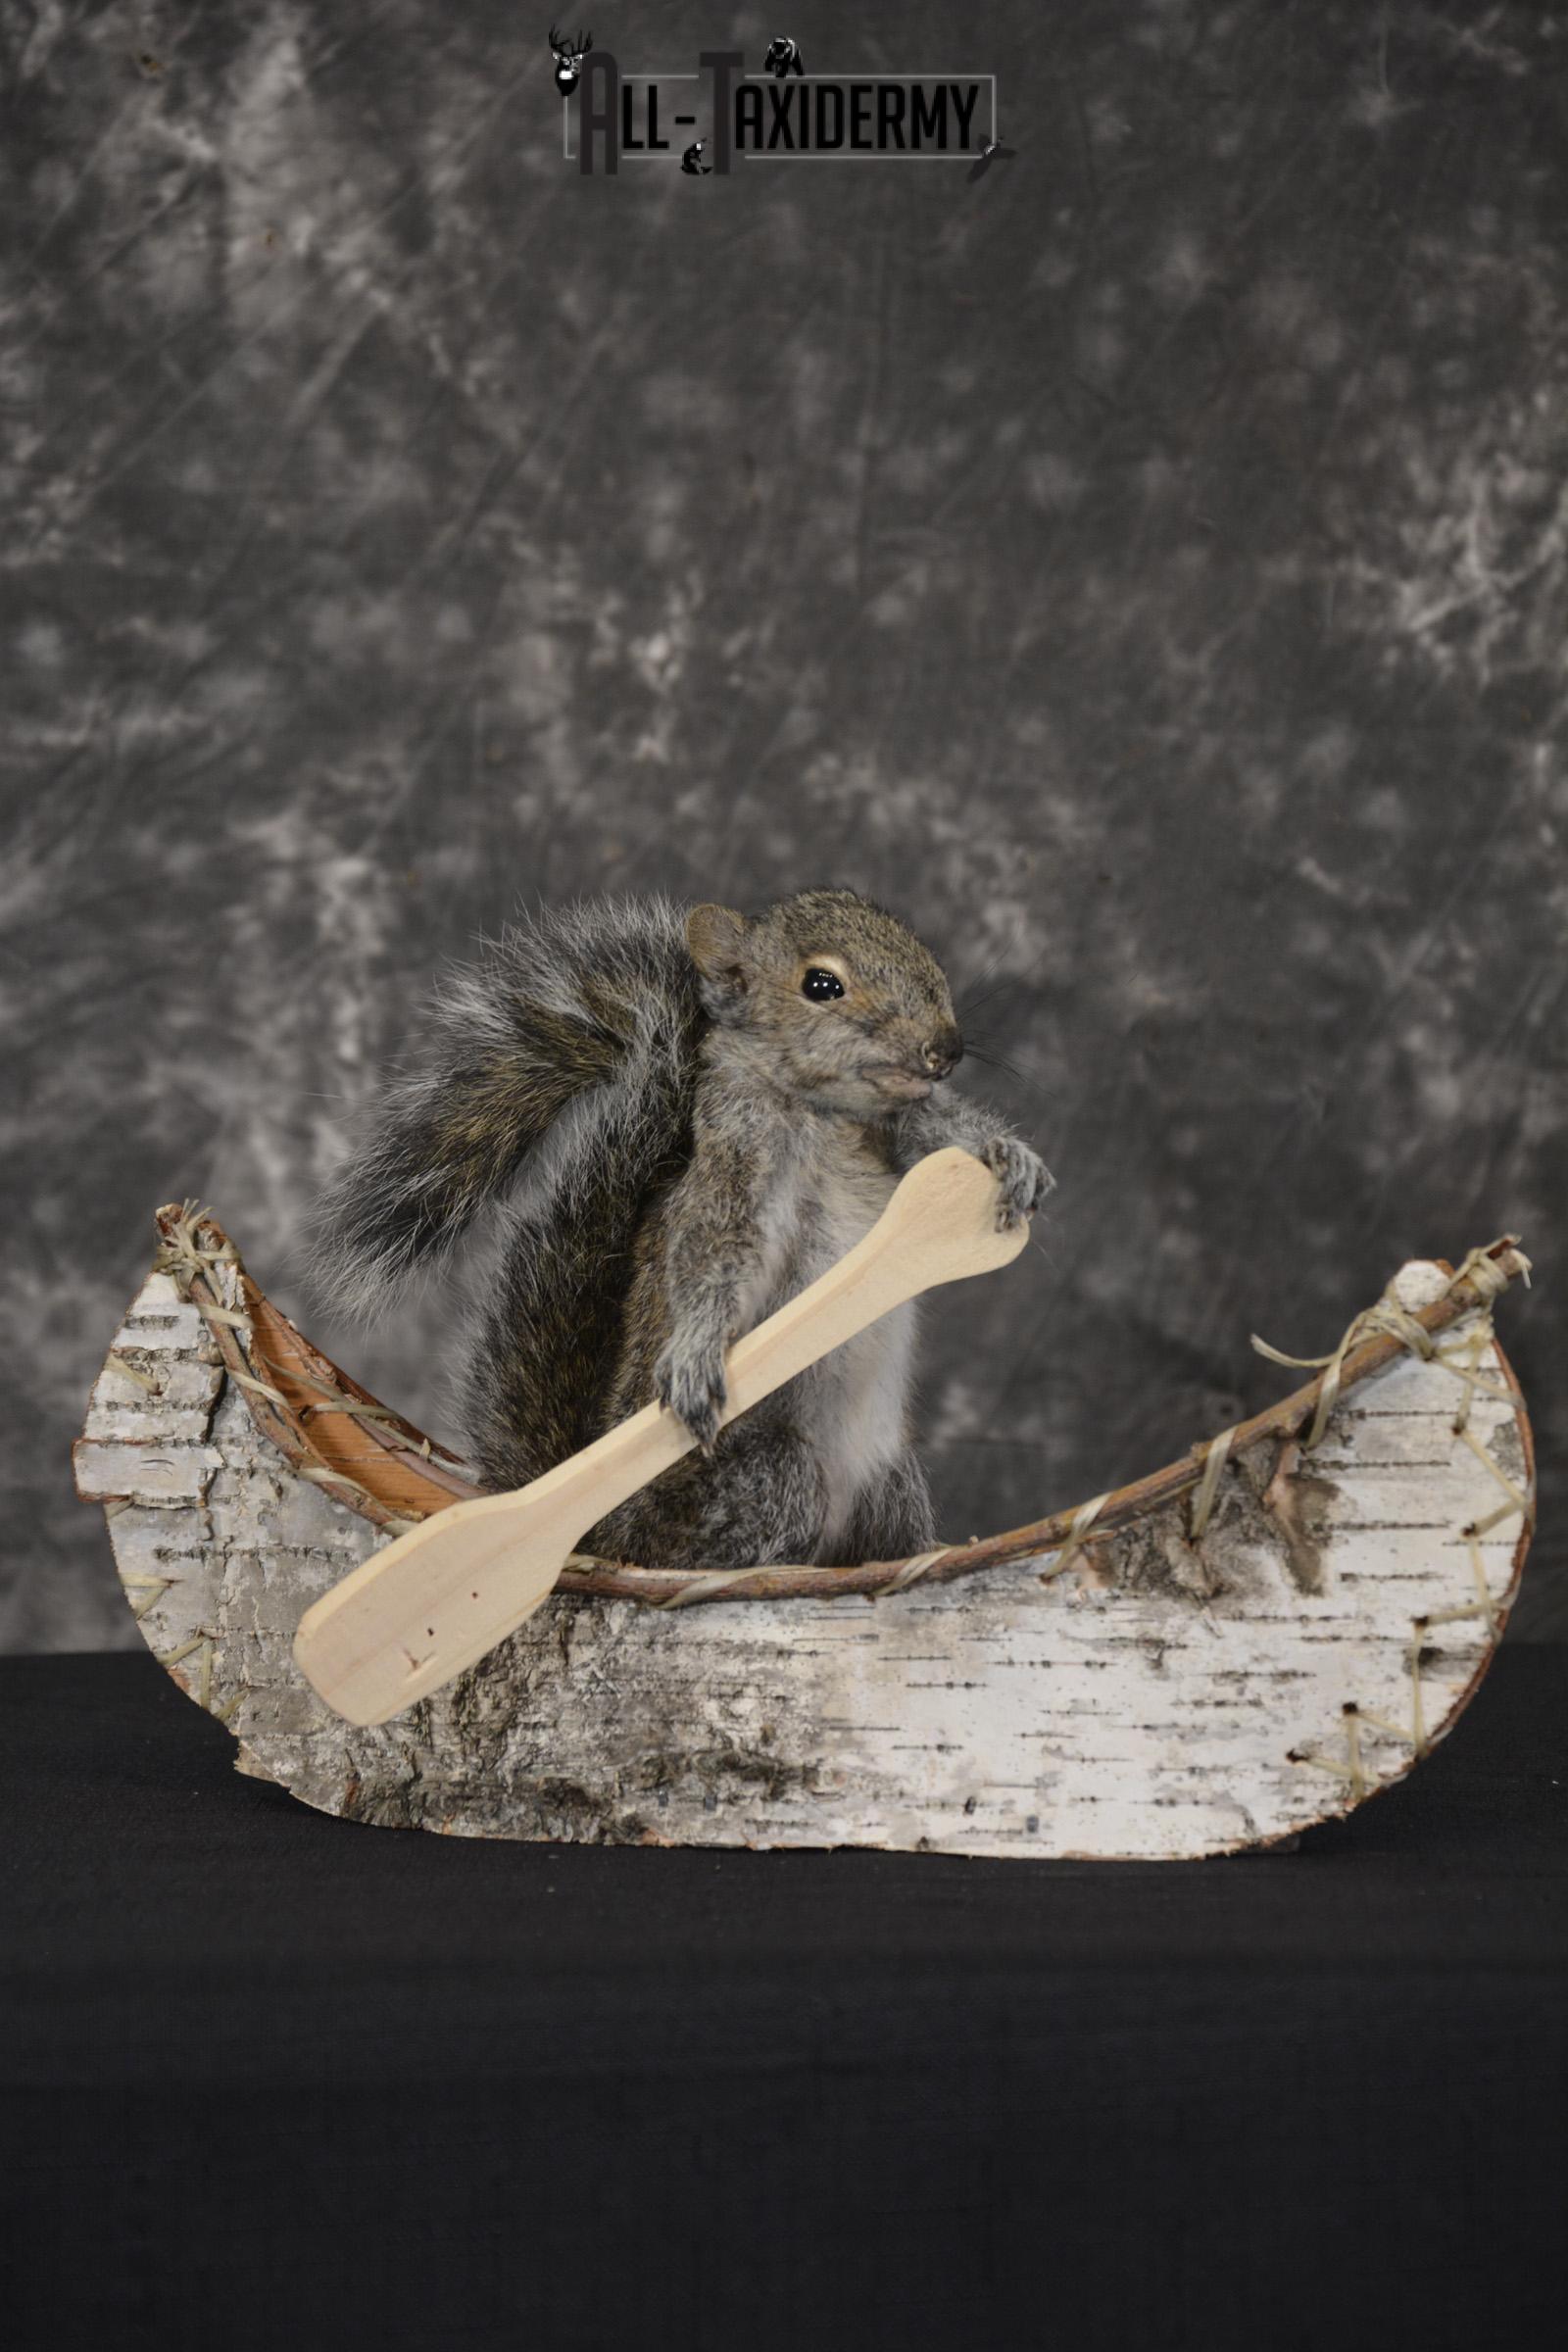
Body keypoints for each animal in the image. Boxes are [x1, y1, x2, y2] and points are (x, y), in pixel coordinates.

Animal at [309, 888, 1051, 1572]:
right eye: (821, 985)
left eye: (922, 951)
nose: (946, 1049)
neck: (829, 1118)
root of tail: (600, 1540)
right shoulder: (735, 1173)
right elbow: (714, 1258)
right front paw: (696, 1352)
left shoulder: (896, 1130)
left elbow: (938, 1133)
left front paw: (1009, 1158)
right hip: (770, 1478)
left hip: (891, 1484)